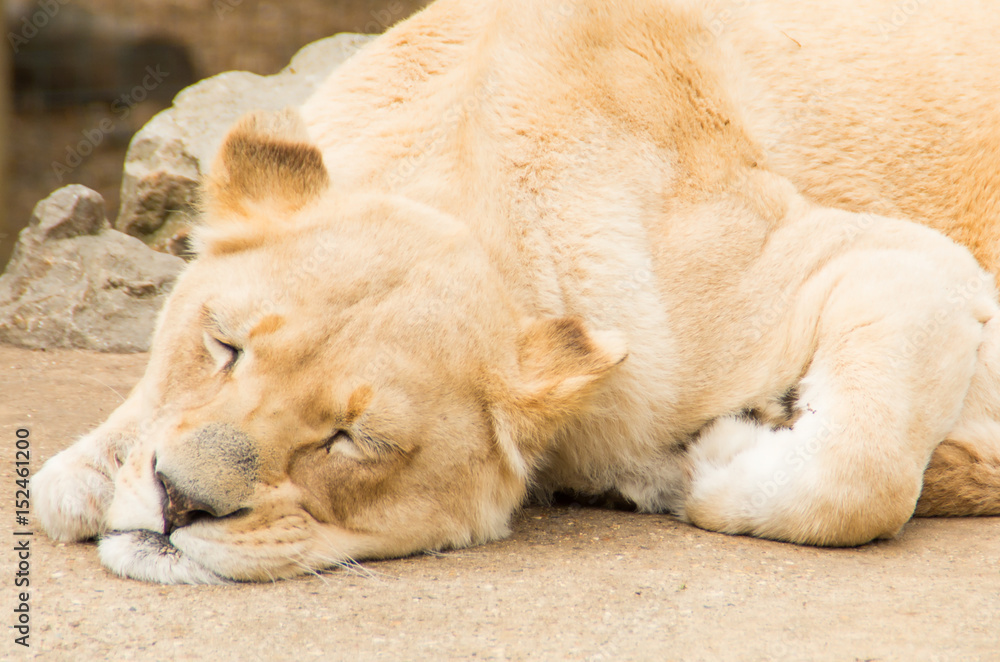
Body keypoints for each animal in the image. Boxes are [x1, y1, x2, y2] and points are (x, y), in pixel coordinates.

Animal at [32, 0, 1000, 583]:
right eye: (223, 345)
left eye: (356, 440)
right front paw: (94, 469)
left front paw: (715, 462)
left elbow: (859, 473)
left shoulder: (885, 259)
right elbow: (65, 477)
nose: (179, 501)